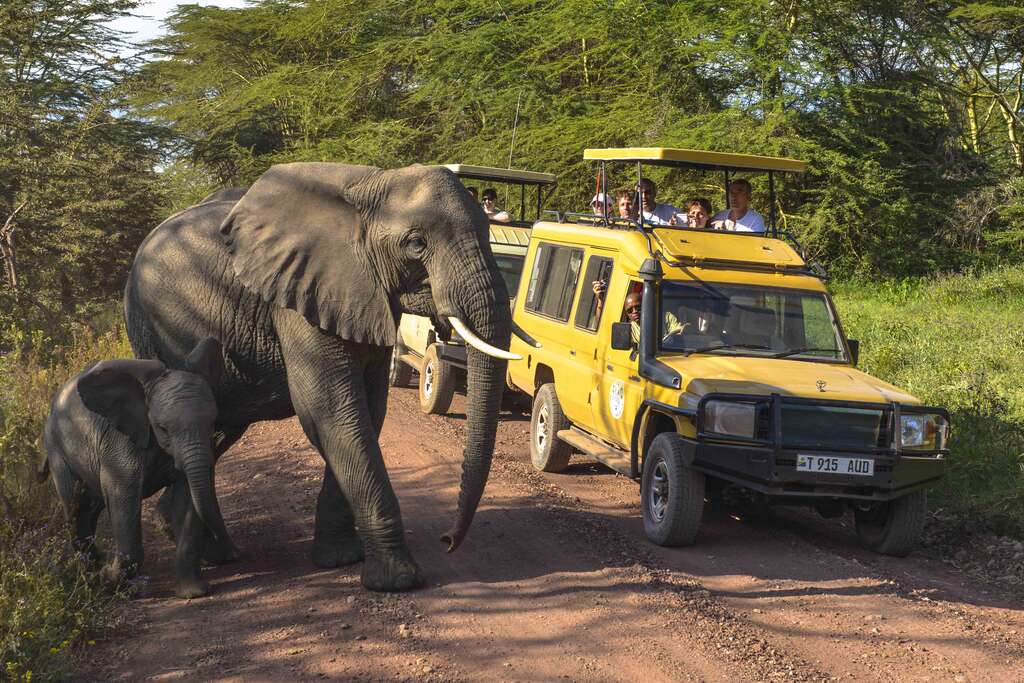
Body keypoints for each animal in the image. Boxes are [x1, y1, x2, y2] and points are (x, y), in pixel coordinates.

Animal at [39, 335, 234, 598]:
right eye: (162, 428)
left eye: (212, 422)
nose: (226, 555)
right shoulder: (120, 442)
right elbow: (122, 495)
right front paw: (108, 580)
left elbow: (187, 496)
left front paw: (193, 593)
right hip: (57, 450)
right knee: (76, 508)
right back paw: (93, 582)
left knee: (89, 509)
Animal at [123, 162, 516, 589]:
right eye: (416, 244)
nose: (447, 541)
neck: (370, 184)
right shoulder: (297, 295)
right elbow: (331, 410)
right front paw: (396, 579)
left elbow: (368, 410)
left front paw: (341, 559)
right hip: (154, 329)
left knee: (217, 428)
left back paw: (201, 544)